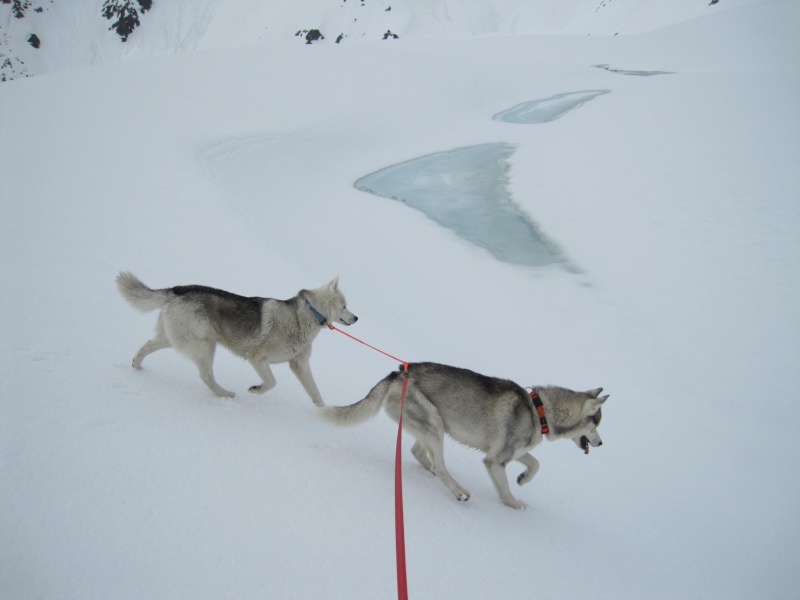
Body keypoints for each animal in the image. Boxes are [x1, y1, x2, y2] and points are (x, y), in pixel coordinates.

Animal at [117, 274, 358, 404]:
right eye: (345, 306)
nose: (356, 318)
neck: (305, 316)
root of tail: (178, 290)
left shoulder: (300, 364)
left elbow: (315, 392)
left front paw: (324, 412)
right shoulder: (257, 358)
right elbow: (271, 382)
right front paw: (256, 390)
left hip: (175, 339)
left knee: (147, 346)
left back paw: (136, 365)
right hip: (205, 345)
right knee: (206, 376)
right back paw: (224, 394)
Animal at [318, 364, 608, 508]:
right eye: (597, 423)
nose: (601, 443)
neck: (540, 410)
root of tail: (397, 373)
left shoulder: (509, 452)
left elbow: (535, 463)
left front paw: (523, 478)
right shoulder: (495, 460)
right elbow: (505, 490)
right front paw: (514, 504)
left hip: (433, 426)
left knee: (419, 453)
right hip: (433, 424)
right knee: (438, 464)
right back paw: (458, 491)